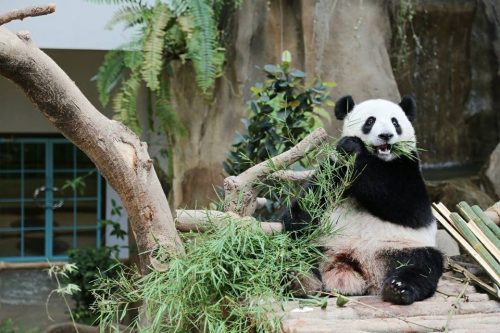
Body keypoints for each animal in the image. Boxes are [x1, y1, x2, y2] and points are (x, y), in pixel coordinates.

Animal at [284, 95, 444, 304]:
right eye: (370, 121)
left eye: (395, 122)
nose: (386, 135)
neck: (380, 160)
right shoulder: (333, 172)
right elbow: (305, 207)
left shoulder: (408, 168)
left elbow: (407, 206)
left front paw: (355, 148)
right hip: (322, 245)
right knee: (293, 250)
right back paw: (300, 280)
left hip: (402, 248)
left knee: (423, 266)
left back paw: (398, 288)